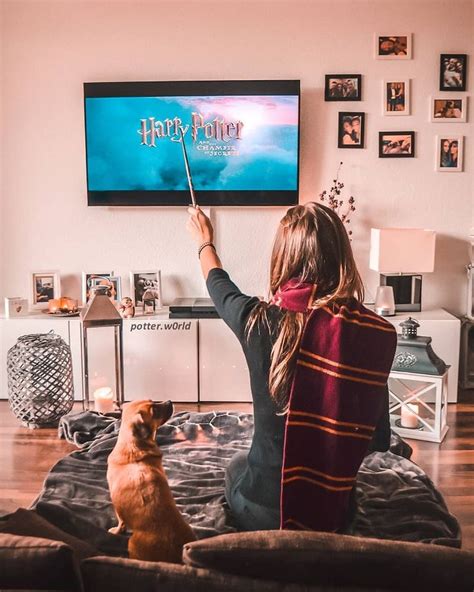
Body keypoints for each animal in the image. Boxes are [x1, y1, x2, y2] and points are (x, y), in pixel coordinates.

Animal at [106, 400, 195, 560]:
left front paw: (116, 531)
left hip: (132, 543)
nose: (170, 401)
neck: (133, 444)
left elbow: (121, 523)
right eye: (154, 409)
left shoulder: (118, 509)